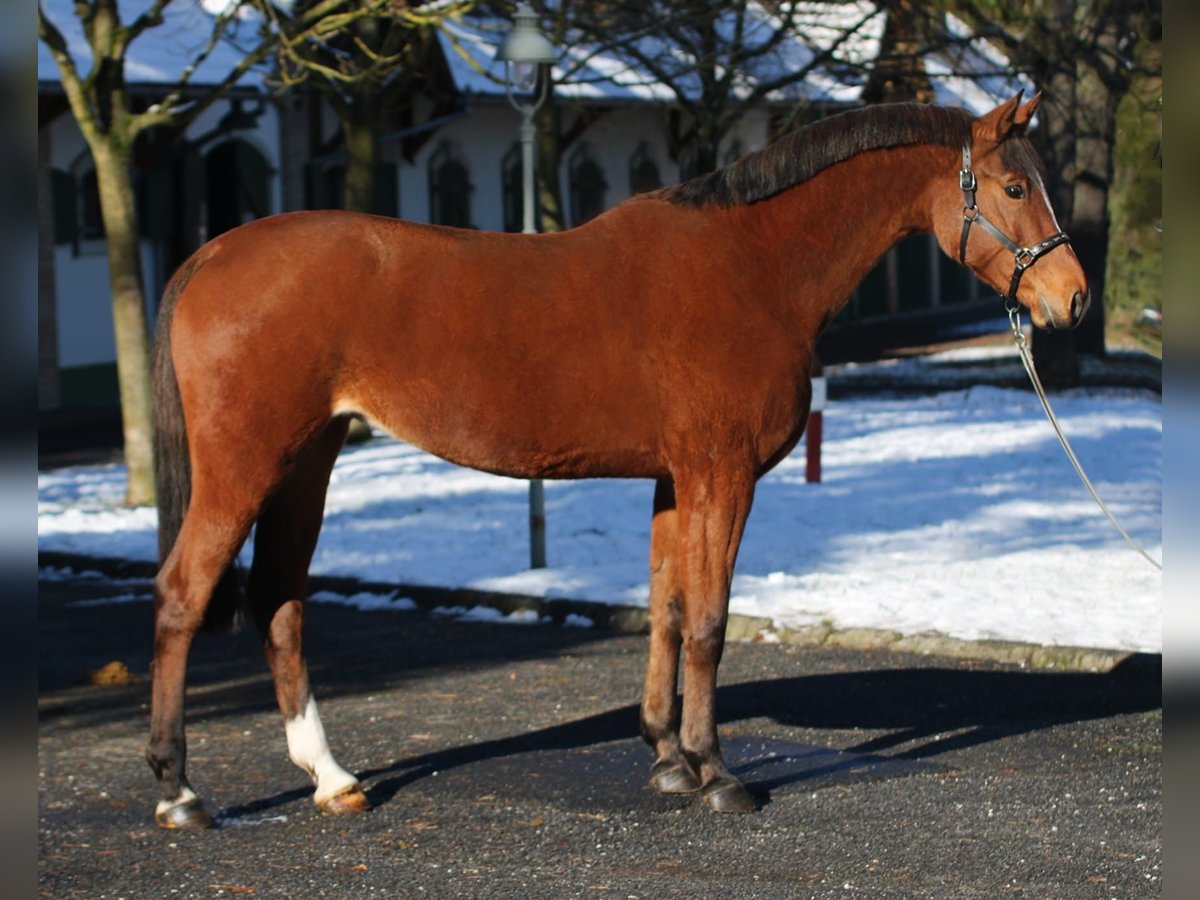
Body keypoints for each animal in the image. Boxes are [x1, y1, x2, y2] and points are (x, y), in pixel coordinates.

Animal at [147, 95, 1089, 830]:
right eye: (1014, 186)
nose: (1072, 298)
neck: (753, 264)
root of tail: (211, 255)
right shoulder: (721, 476)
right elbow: (708, 621)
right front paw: (718, 773)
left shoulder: (674, 480)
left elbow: (665, 611)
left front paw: (668, 758)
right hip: (246, 467)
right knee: (184, 596)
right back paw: (180, 790)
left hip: (308, 460)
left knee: (279, 602)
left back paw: (332, 780)